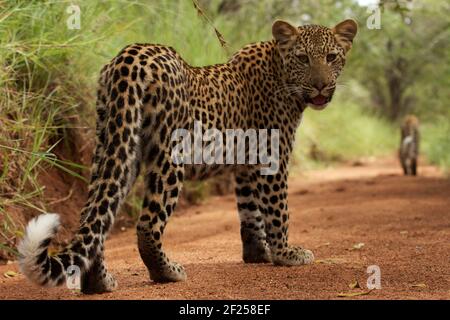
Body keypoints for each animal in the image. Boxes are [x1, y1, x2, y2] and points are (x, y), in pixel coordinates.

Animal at [17, 18, 356, 294]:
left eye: (331, 57)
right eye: (302, 58)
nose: (321, 85)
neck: (280, 73)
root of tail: (130, 57)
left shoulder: (246, 164)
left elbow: (250, 212)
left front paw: (259, 254)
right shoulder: (272, 156)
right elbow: (277, 210)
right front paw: (286, 254)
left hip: (114, 145)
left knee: (96, 214)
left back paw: (99, 283)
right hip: (169, 154)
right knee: (147, 224)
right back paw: (167, 272)